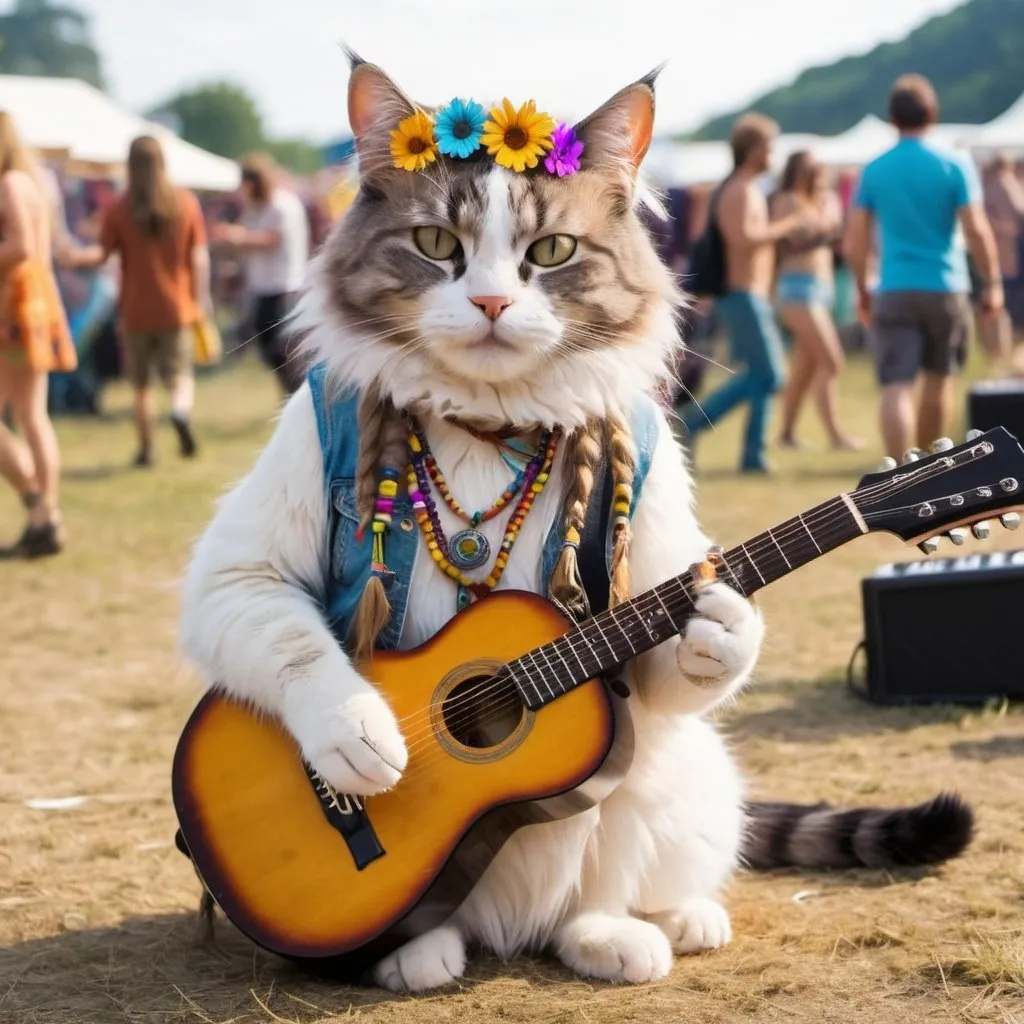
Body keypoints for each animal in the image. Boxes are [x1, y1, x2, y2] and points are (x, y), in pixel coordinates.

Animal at [178, 56, 974, 991]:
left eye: (550, 251)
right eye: (436, 245)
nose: (490, 301)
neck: (489, 419)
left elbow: (681, 645)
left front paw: (722, 628)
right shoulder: (280, 493)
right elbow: (263, 608)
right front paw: (355, 737)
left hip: (675, 776)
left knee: (628, 850)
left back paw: (636, 926)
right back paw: (420, 951)